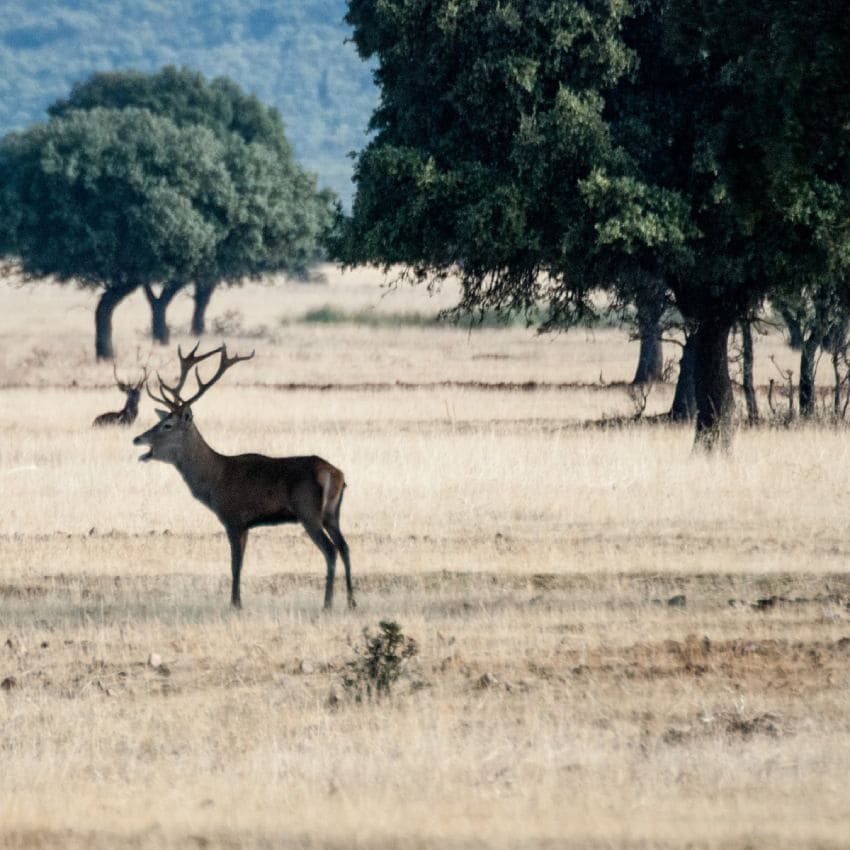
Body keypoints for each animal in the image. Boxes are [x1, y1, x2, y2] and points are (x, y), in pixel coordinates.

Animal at [132, 344, 354, 608]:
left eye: (168, 425)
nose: (137, 438)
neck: (215, 480)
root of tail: (335, 474)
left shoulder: (233, 517)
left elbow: (235, 564)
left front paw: (235, 603)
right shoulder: (246, 524)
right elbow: (241, 562)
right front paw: (237, 601)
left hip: (308, 510)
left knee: (330, 550)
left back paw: (327, 603)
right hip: (332, 513)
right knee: (345, 547)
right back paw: (351, 601)